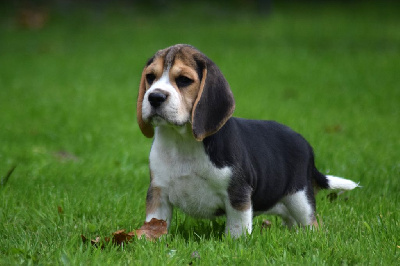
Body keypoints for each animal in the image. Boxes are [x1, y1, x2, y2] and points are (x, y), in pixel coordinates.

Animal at [136, 44, 358, 237]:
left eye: (183, 80)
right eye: (150, 77)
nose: (154, 97)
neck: (182, 141)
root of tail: (306, 145)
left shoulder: (238, 194)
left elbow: (237, 227)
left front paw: (235, 243)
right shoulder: (158, 194)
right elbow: (155, 222)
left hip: (300, 198)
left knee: (311, 224)